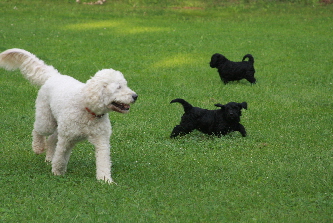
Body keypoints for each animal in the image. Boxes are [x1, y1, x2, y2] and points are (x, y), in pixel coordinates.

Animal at [0, 48, 137, 183]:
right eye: (119, 87)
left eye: (125, 85)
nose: (135, 96)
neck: (87, 110)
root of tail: (54, 76)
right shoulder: (67, 139)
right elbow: (61, 157)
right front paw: (57, 172)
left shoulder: (101, 139)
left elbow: (103, 160)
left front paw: (105, 179)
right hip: (46, 120)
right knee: (37, 130)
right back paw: (38, 147)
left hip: (58, 125)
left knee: (51, 139)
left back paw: (49, 158)